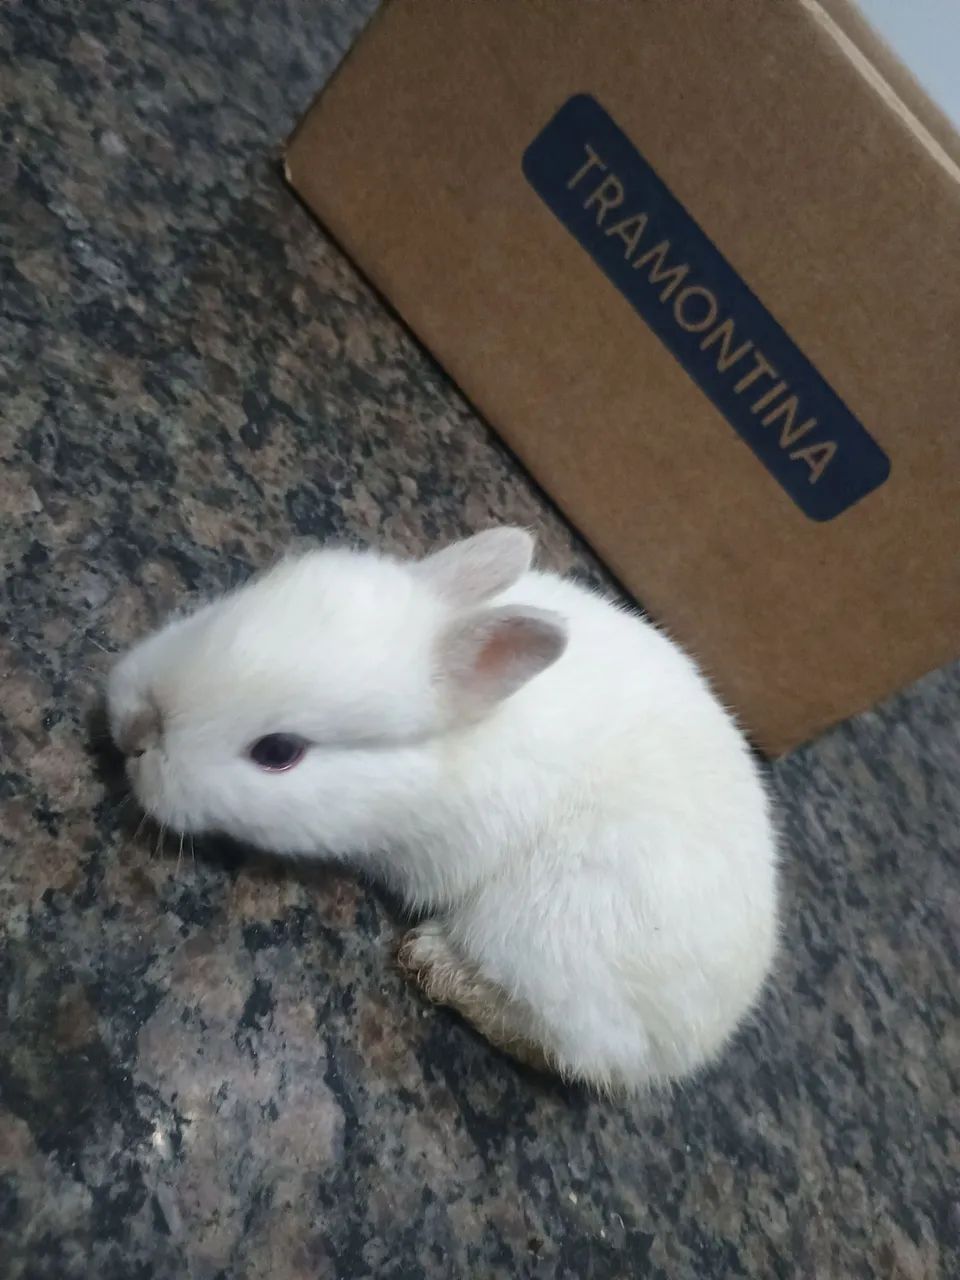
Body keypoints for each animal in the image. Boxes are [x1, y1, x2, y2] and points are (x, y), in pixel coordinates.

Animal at [107, 527, 778, 1091]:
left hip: (540, 932)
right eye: (231, 603)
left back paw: (434, 963)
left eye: (279, 752)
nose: (134, 731)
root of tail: (712, 1030)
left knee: (568, 1049)